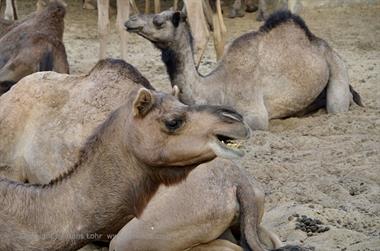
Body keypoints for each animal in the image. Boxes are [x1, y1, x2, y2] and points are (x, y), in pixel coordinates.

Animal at [126, 10, 364, 130]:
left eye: (158, 21)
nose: (130, 20)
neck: (214, 86)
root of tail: (321, 44)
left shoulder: (255, 113)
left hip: (337, 67)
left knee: (337, 105)